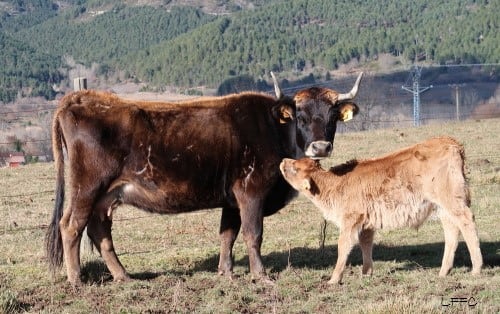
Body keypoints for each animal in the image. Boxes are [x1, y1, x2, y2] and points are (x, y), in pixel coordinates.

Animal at [45, 73, 362, 284]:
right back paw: (76, 279)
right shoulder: (251, 192)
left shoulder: (232, 200)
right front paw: (260, 275)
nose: (320, 147)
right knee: (71, 225)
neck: (274, 129)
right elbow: (253, 233)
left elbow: (227, 234)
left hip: (106, 195)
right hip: (87, 187)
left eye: (332, 117)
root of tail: (84, 98)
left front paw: (226, 271)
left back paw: (124, 276)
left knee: (99, 231)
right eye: (301, 117)